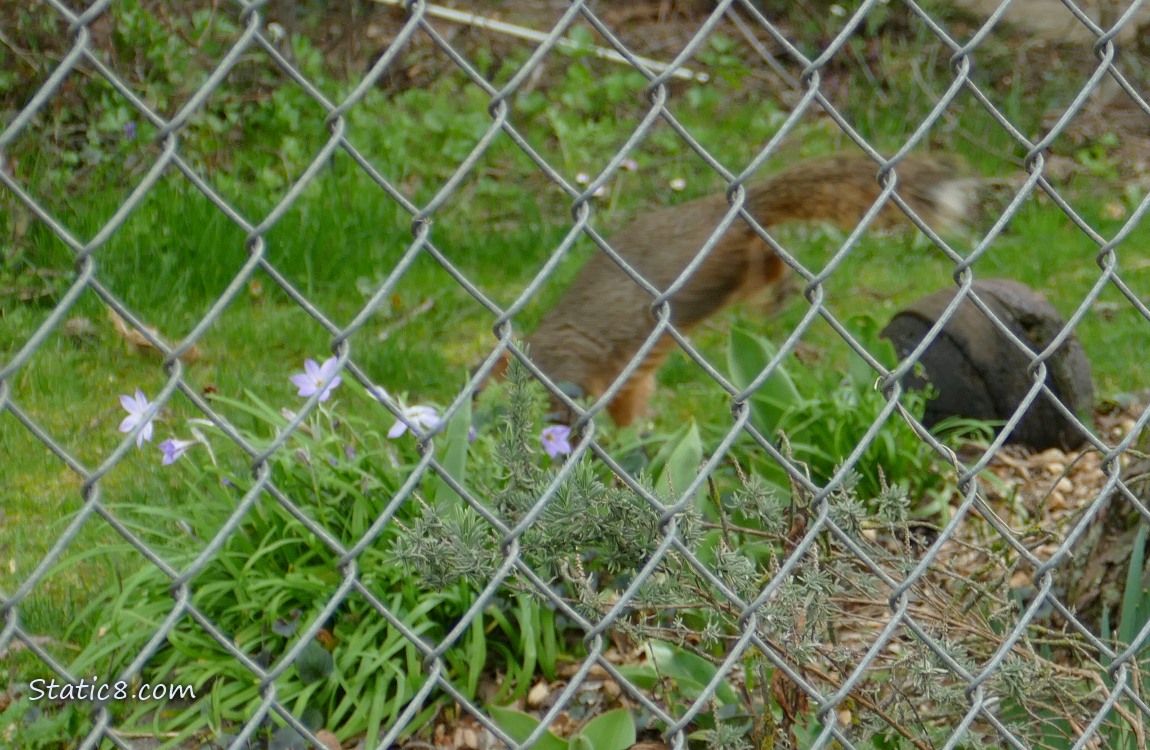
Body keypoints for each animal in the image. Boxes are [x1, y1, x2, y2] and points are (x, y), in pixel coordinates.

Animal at [493, 154, 974, 426]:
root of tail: (734, 211)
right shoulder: (626, 383)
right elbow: (631, 407)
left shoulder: (576, 371)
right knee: (766, 256)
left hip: (718, 274)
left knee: (759, 268)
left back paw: (778, 292)